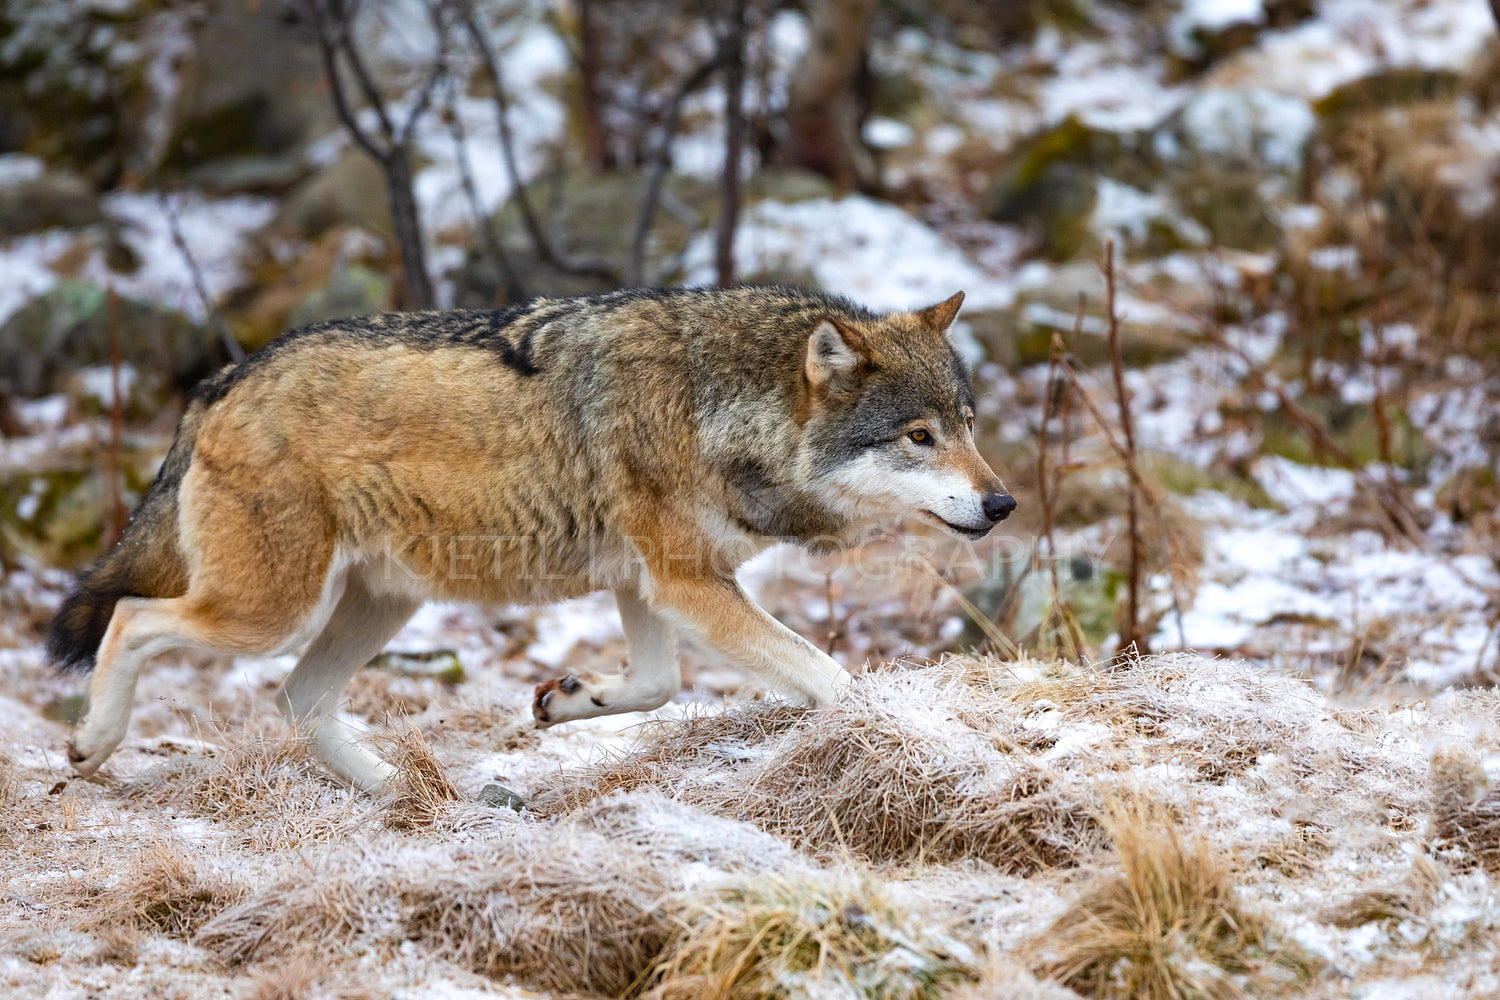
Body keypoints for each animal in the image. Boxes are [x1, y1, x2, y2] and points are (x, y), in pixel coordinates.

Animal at [46, 284, 1014, 791]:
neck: (719, 407)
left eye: (967, 426)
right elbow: (830, 676)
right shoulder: (685, 582)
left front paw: (568, 700)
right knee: (134, 618)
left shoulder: (649, 583)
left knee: (297, 699)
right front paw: (905, 734)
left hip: (377, 607)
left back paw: (407, 796)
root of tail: (221, 379)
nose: (1002, 503)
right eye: (918, 437)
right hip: (270, 610)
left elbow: (657, 685)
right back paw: (93, 742)